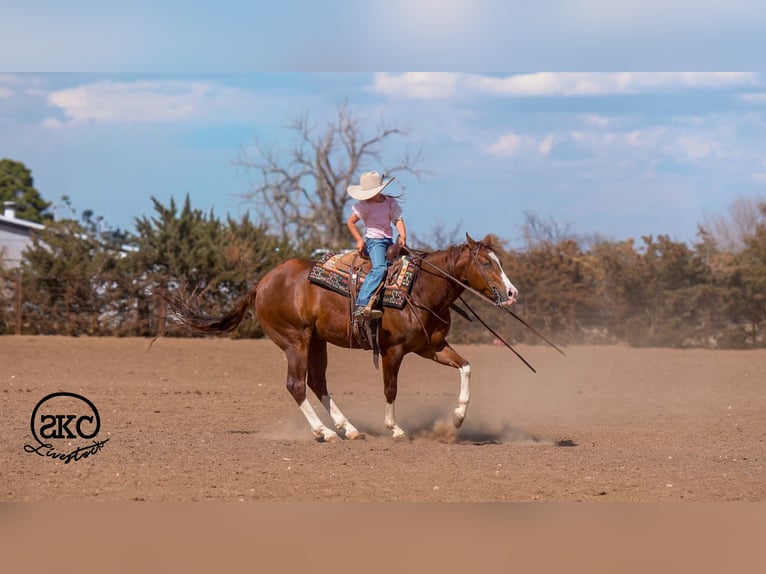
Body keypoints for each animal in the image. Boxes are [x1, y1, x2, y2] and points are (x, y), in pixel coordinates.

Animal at [162, 233, 518, 441]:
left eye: (498, 261)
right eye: (486, 263)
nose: (512, 293)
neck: (419, 290)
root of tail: (261, 284)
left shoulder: (431, 347)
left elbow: (466, 366)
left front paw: (457, 419)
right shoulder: (393, 351)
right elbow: (390, 389)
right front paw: (396, 429)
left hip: (317, 342)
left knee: (317, 383)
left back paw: (348, 429)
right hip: (295, 341)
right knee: (296, 385)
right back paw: (324, 432)